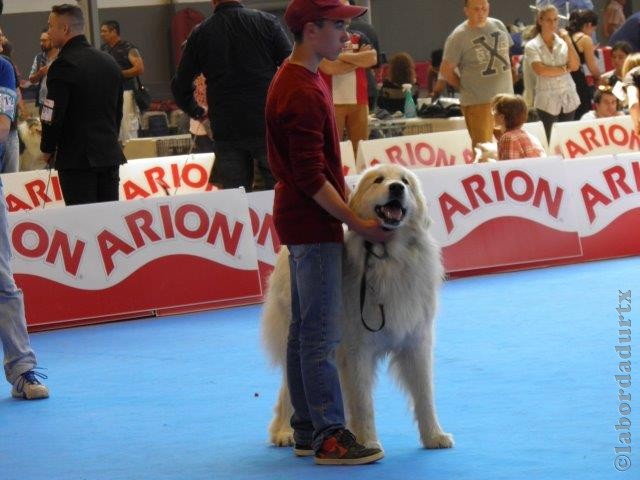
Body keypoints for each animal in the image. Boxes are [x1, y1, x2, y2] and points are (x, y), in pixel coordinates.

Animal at [262, 164, 452, 450]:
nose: (396, 188)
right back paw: (284, 431)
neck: (388, 257)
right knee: (289, 387)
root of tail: (286, 249)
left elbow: (424, 394)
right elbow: (363, 402)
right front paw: (369, 442)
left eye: (405, 181)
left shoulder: (416, 342)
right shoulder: (356, 350)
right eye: (379, 180)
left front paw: (434, 436)